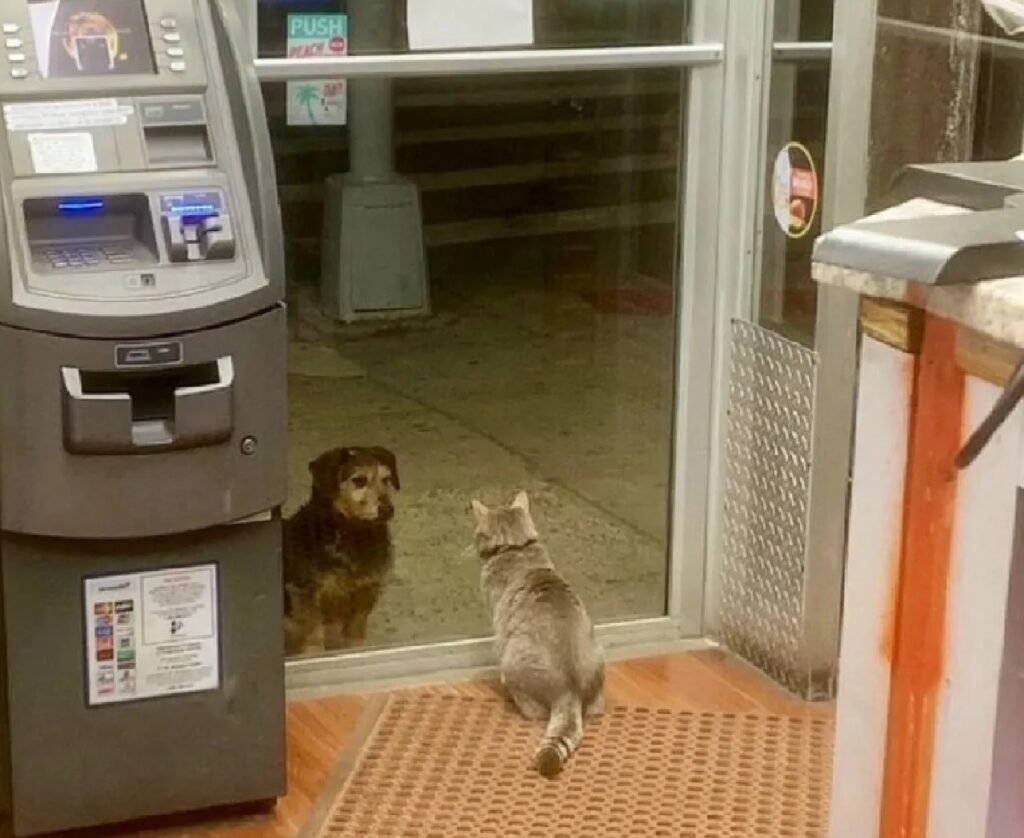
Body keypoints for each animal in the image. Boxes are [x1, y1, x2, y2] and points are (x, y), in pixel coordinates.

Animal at [288, 444, 403, 651]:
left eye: (387, 479)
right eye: (359, 481)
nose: (387, 510)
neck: (353, 533)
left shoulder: (365, 593)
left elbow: (355, 633)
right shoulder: (306, 594)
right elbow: (313, 637)